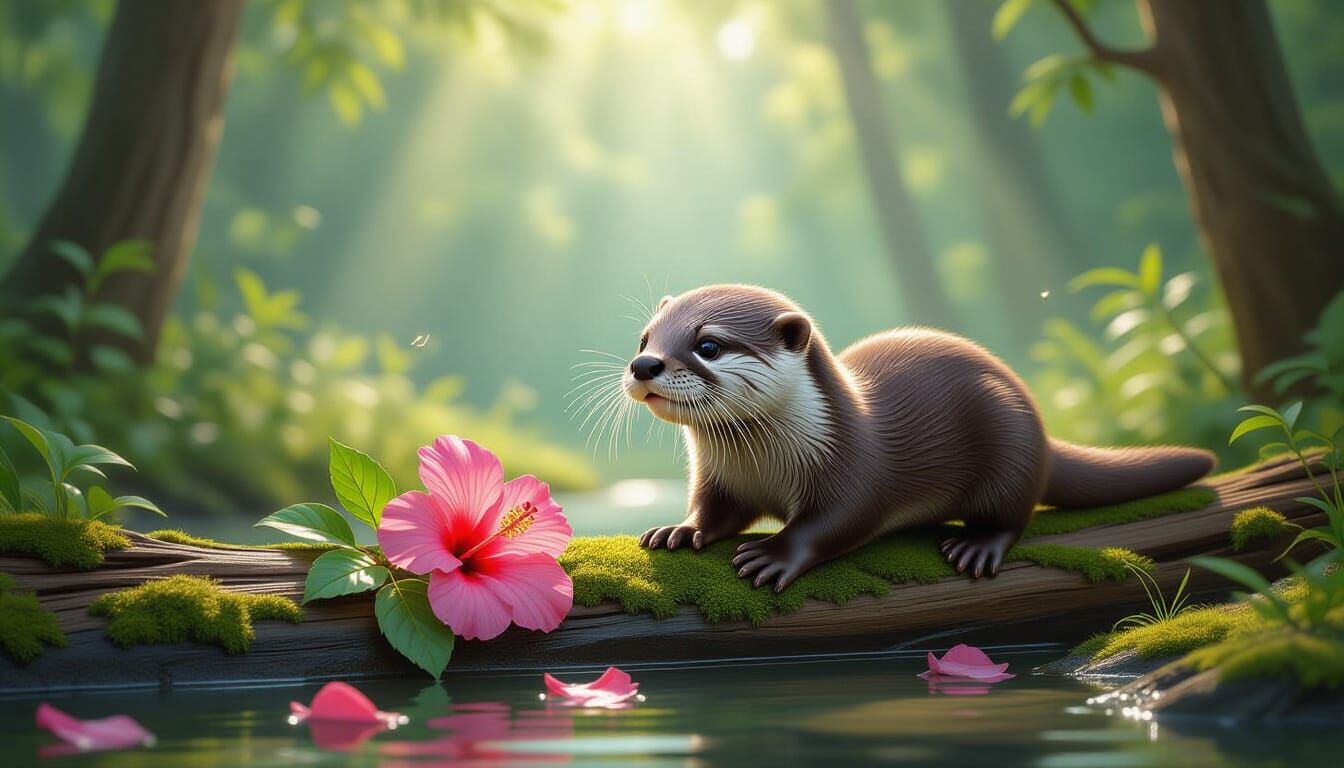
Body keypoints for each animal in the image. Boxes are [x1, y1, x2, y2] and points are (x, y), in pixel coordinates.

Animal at [623, 284, 1214, 592]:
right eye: (646, 339)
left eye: (709, 345)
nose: (644, 365)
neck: (764, 463)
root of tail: (1042, 429)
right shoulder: (720, 478)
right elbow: (714, 511)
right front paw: (680, 529)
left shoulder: (853, 466)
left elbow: (839, 521)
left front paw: (774, 553)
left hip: (1011, 441)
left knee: (1013, 513)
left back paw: (977, 545)